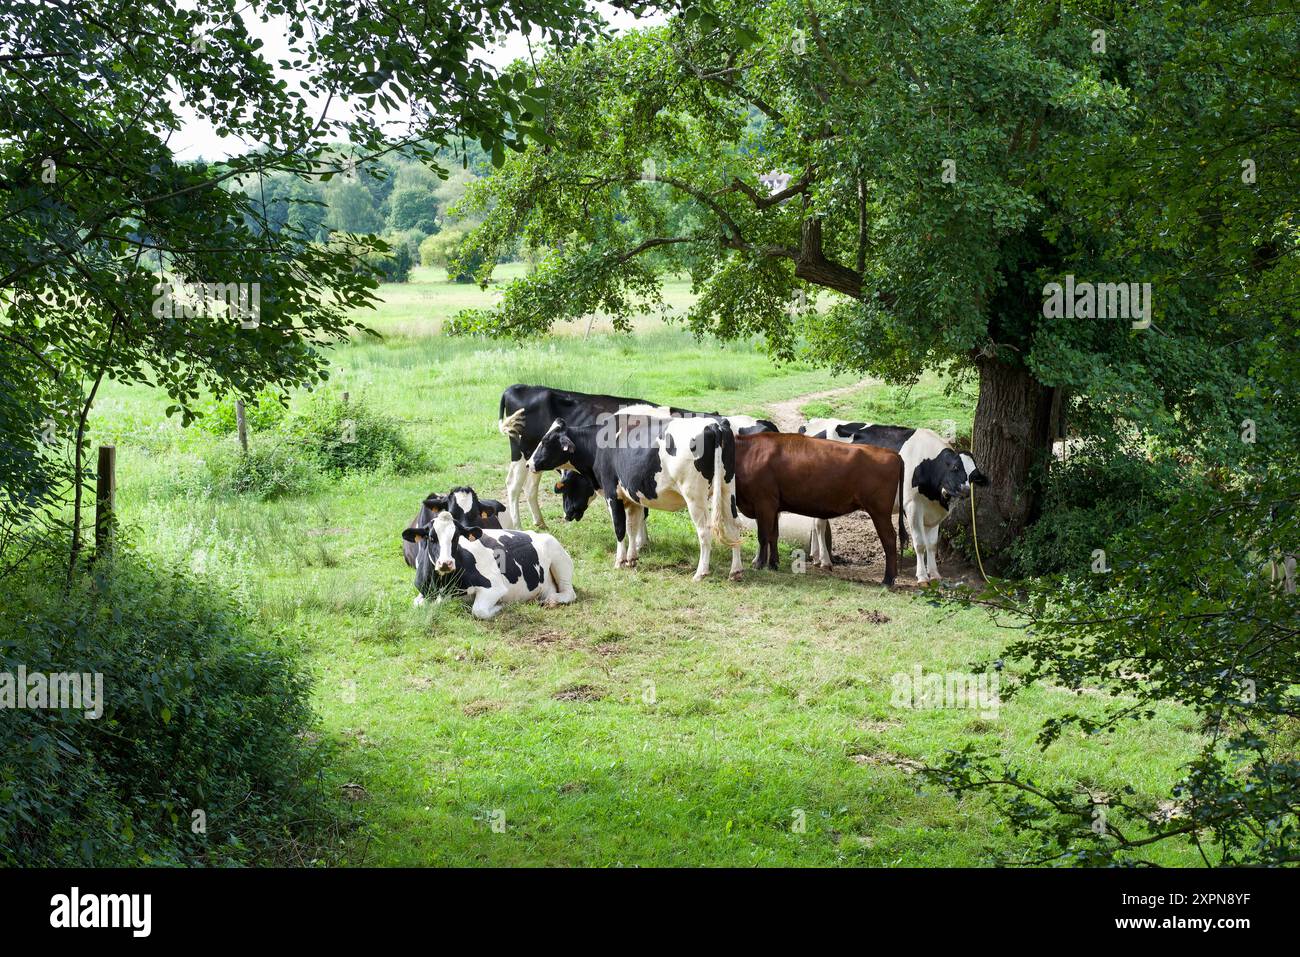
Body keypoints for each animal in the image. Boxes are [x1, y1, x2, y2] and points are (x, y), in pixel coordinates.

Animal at [401, 511, 576, 618]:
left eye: (456, 537)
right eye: (431, 537)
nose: (446, 563)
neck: (443, 586)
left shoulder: (495, 587)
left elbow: (478, 611)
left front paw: (501, 605)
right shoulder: (423, 591)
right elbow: (418, 604)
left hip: (559, 557)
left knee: (569, 592)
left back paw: (551, 600)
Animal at [527, 412, 744, 580]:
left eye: (545, 441)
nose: (529, 463)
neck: (597, 446)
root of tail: (714, 424)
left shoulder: (612, 495)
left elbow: (620, 528)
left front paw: (619, 561)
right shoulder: (633, 498)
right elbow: (633, 526)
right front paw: (631, 559)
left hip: (694, 496)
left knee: (704, 531)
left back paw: (701, 572)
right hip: (727, 490)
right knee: (733, 526)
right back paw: (736, 571)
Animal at [734, 432, 904, 586]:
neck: (746, 453)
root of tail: (892, 453)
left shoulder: (763, 503)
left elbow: (763, 536)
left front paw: (759, 565)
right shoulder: (774, 507)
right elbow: (773, 535)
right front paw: (773, 565)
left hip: (879, 512)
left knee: (889, 539)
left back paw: (887, 580)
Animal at [799, 419, 988, 582]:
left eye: (973, 476)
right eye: (955, 468)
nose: (965, 491)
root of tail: (810, 424)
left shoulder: (935, 511)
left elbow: (932, 545)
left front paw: (934, 574)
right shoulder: (912, 506)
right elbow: (920, 543)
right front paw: (922, 577)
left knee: (814, 522)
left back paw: (816, 557)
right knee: (820, 525)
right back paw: (825, 561)